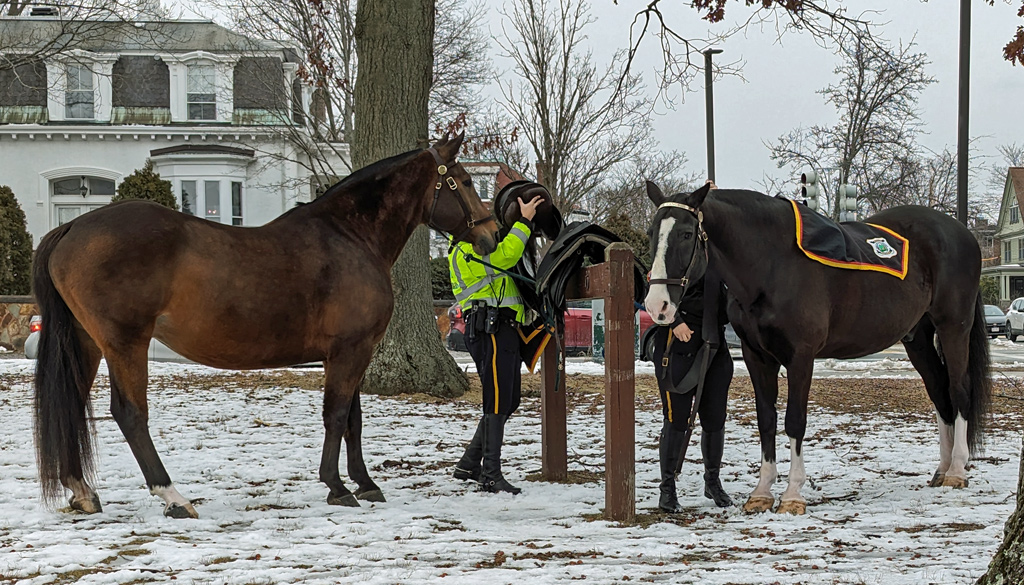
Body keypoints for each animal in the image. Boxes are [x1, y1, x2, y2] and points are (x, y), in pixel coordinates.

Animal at [32, 133, 495, 516]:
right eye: (467, 182)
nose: (491, 236)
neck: (351, 236)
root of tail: (72, 226)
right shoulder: (351, 349)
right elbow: (336, 414)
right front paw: (337, 486)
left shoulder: (349, 352)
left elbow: (353, 417)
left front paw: (365, 483)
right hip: (125, 342)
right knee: (129, 413)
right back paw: (174, 497)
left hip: (87, 342)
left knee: (74, 402)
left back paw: (83, 491)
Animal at [647, 182, 991, 512]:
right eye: (652, 233)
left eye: (687, 233)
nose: (657, 305)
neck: (772, 263)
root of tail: (961, 232)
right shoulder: (756, 357)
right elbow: (766, 421)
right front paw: (761, 493)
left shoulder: (801, 357)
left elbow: (795, 421)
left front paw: (792, 495)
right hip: (917, 338)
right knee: (940, 393)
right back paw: (942, 469)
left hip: (953, 328)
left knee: (959, 390)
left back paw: (957, 471)